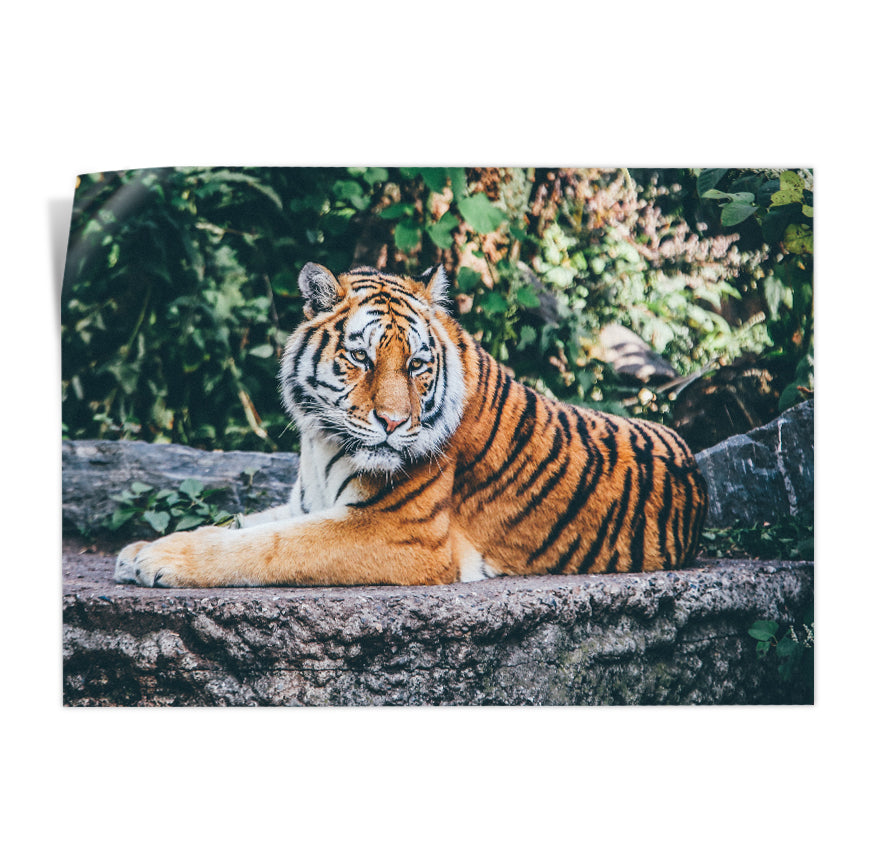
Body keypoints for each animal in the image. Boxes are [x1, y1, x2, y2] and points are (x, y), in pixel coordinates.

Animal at [114, 262, 708, 588]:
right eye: (361, 357)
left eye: (418, 364)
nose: (395, 423)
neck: (321, 441)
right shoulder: (307, 504)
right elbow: (241, 524)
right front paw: (137, 550)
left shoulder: (398, 531)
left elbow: (267, 546)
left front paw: (159, 558)